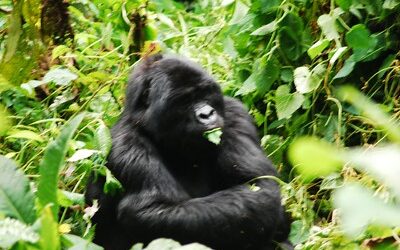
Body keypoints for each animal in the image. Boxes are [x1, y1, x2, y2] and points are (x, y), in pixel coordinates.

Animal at [85, 54, 290, 250]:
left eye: (205, 94)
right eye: (184, 101)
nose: (207, 114)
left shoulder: (235, 114)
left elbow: (259, 186)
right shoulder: (125, 146)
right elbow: (147, 210)